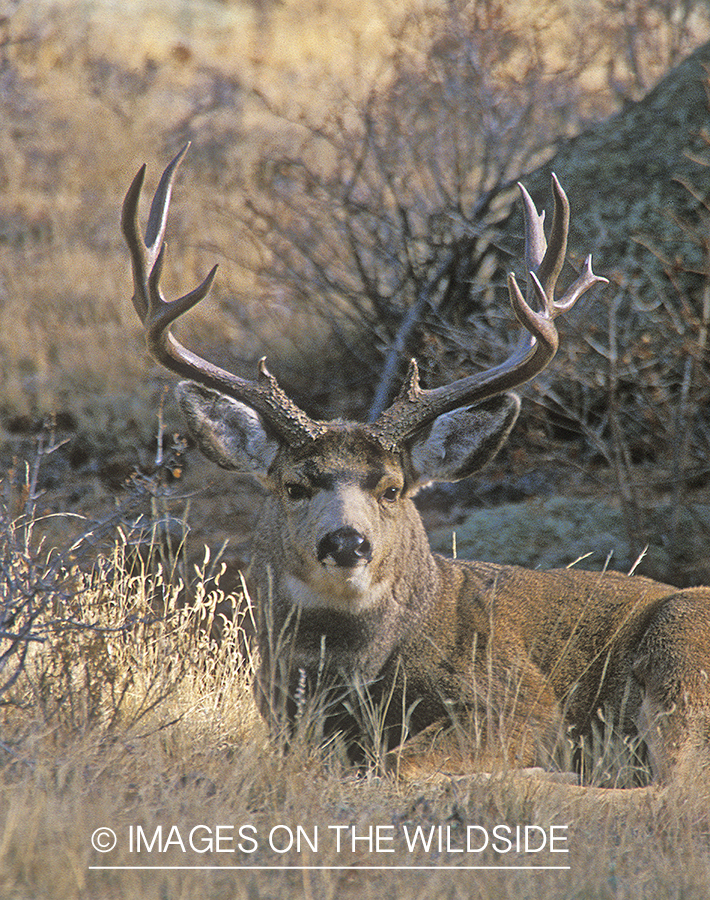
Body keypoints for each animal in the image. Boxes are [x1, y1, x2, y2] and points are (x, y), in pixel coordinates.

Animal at [122, 145, 710, 785]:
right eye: (295, 485)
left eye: (392, 489)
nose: (347, 542)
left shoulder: (523, 704)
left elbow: (400, 762)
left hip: (679, 652)